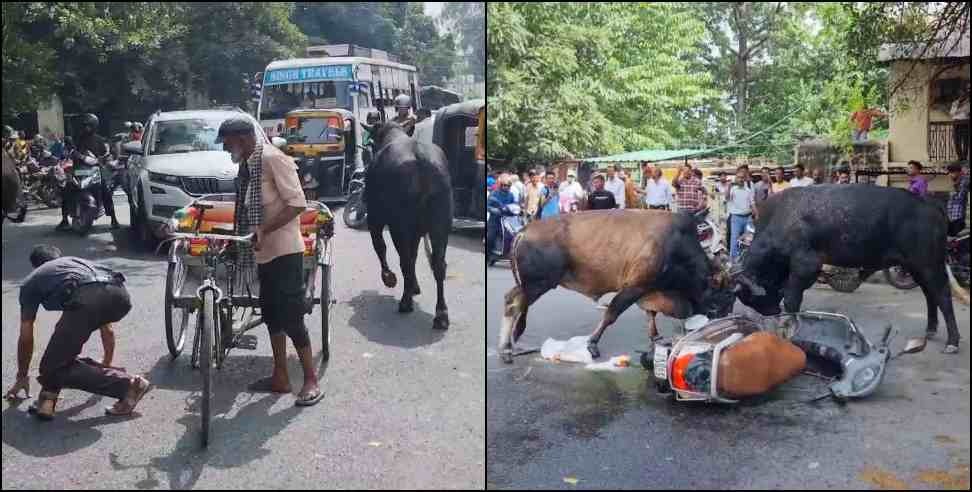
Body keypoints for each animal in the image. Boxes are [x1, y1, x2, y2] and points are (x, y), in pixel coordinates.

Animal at [366, 122, 454, 330]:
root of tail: (420, 158)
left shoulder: (374, 218)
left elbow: (380, 246)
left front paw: (389, 277)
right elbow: (414, 256)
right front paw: (414, 286)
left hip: (400, 225)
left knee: (404, 260)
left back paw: (406, 302)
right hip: (440, 223)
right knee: (438, 265)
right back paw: (441, 314)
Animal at [502, 209, 736, 364]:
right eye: (725, 296)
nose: (722, 320)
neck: (676, 246)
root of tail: (524, 230)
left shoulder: (648, 289)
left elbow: (650, 314)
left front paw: (655, 337)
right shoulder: (633, 287)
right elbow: (611, 314)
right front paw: (592, 345)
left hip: (532, 285)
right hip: (537, 284)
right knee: (512, 303)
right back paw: (506, 348)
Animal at [740, 183, 960, 352]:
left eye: (751, 297)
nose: (770, 311)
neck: (782, 217)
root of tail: (928, 203)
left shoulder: (805, 267)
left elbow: (791, 300)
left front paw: (789, 327)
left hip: (929, 264)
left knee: (943, 295)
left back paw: (952, 342)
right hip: (916, 267)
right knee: (930, 294)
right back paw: (930, 330)